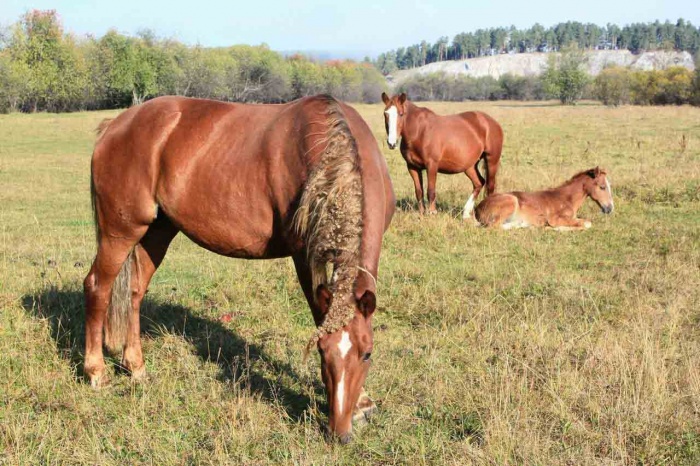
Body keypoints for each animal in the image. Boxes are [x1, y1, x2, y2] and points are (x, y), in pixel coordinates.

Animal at [83, 94, 394, 444]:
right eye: (321, 351)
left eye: (367, 354)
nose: (339, 434)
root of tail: (115, 125)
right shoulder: (304, 256)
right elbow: (319, 314)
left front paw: (362, 402)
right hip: (120, 232)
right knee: (97, 287)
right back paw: (96, 371)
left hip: (157, 232)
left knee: (135, 293)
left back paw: (135, 366)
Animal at [476, 167, 612, 230]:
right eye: (602, 187)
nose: (610, 208)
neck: (567, 199)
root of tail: (478, 209)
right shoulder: (556, 219)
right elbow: (586, 224)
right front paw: (555, 228)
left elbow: (586, 221)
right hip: (511, 201)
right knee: (493, 227)